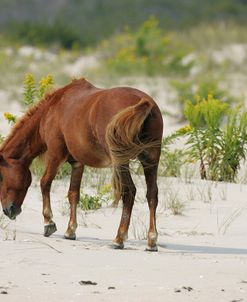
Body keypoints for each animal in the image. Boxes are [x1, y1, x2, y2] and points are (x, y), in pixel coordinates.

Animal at [0, 78, 163, 250]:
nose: (8, 211)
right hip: (150, 161)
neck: (52, 109)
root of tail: (144, 102)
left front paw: (48, 222)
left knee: (129, 192)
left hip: (121, 163)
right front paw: (70, 231)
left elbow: (45, 183)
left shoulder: (55, 155)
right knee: (152, 194)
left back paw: (119, 239)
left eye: (1, 177)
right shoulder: (77, 163)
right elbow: (73, 194)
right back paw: (151, 241)